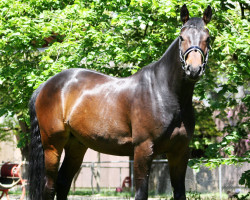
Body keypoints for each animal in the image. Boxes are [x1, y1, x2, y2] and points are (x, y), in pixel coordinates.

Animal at [28, 5, 213, 200]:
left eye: (208, 38)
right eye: (181, 37)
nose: (194, 69)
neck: (165, 94)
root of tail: (46, 85)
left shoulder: (180, 152)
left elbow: (179, 192)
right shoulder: (143, 149)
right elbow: (141, 193)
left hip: (76, 145)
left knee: (63, 183)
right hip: (52, 146)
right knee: (49, 186)